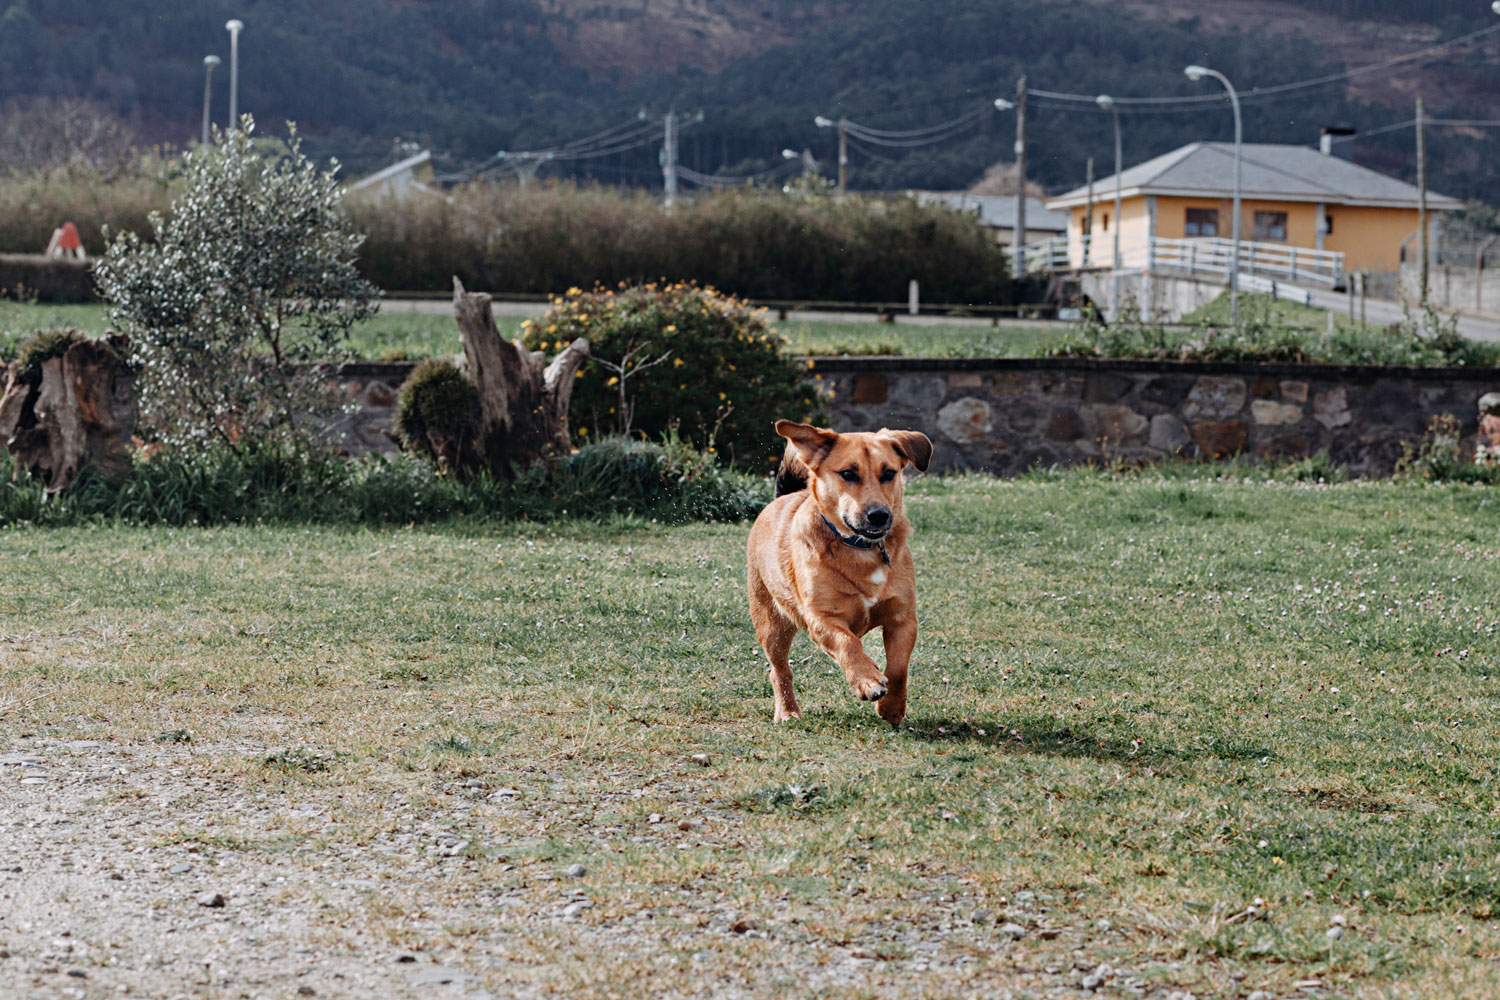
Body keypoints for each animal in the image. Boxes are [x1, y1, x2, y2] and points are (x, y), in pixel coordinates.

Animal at [744, 422, 930, 728]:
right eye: (848, 474)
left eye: (889, 473)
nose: (879, 515)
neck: (860, 548)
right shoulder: (822, 618)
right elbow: (848, 643)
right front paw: (867, 680)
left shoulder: (903, 617)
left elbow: (898, 667)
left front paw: (891, 707)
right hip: (772, 624)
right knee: (779, 670)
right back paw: (788, 711)